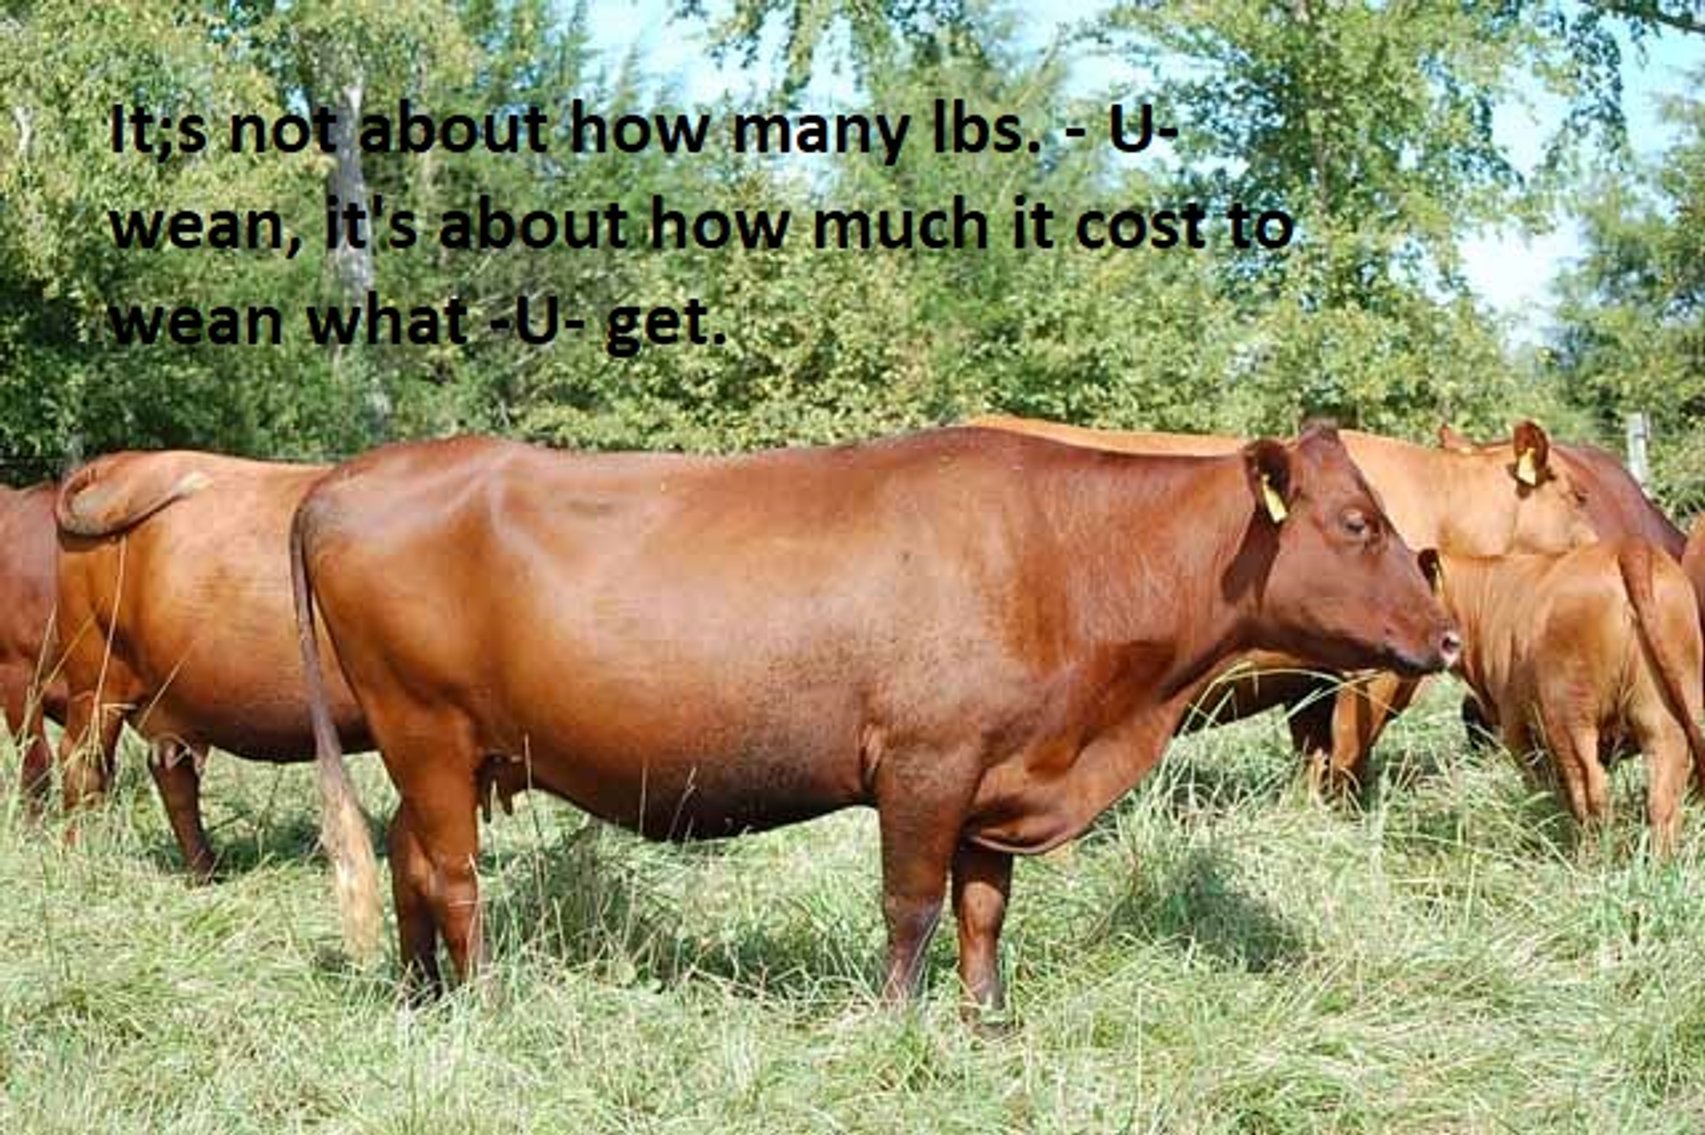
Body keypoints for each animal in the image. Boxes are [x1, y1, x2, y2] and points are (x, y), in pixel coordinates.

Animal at [53, 451, 368, 879]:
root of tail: (120, 461)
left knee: (172, 773)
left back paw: (205, 870)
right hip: (96, 678)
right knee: (82, 761)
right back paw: (75, 859)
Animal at [292, 424, 1459, 1009]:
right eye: (1356, 522)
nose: (1449, 637)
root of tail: (347, 477)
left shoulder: (1000, 774)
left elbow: (983, 911)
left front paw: (988, 1022)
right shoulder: (924, 765)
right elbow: (910, 908)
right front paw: (899, 1023)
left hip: (434, 749)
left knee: (405, 859)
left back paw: (422, 1000)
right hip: (427, 728)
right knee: (450, 874)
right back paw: (489, 1001)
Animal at [969, 414, 1599, 792]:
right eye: (1577, 494)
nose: (1600, 543)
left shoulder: (1309, 677)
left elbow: (1315, 755)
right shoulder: (1370, 674)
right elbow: (1348, 756)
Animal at [1422, 541, 1705, 855]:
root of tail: (1626, 546)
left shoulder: (1517, 728)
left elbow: (1542, 786)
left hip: (1567, 717)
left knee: (1588, 787)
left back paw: (1589, 855)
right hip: (1666, 711)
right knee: (1664, 791)